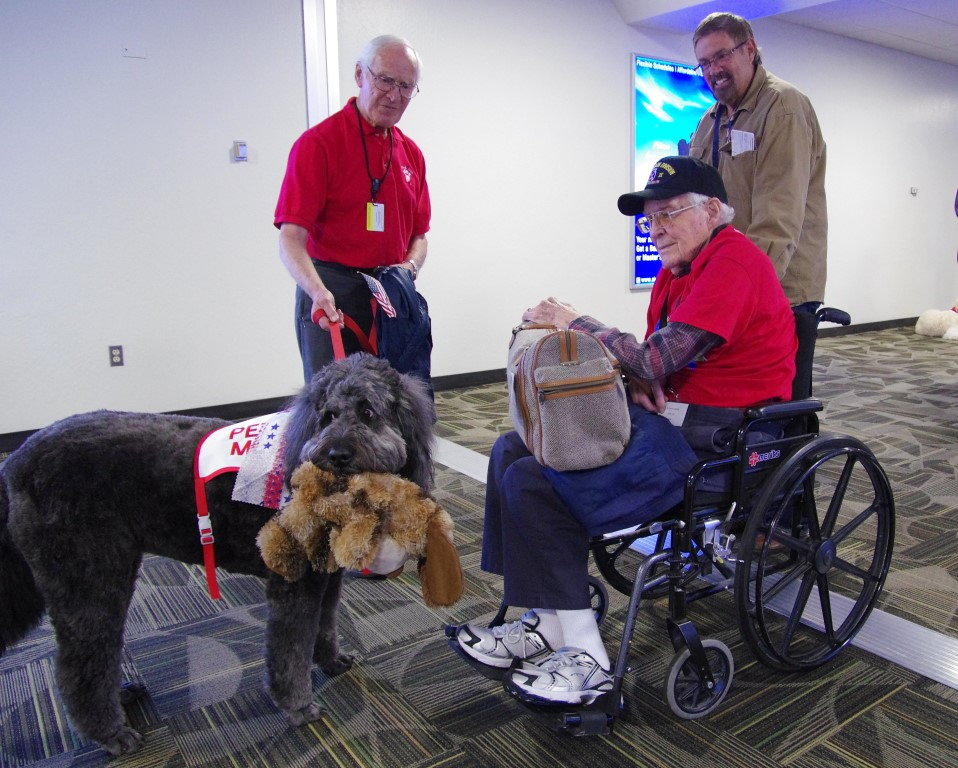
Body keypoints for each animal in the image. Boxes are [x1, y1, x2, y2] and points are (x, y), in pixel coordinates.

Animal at [0, 354, 436, 756]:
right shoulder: (293, 587)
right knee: (80, 666)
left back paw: (120, 695)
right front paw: (298, 706)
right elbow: (289, 654)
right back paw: (110, 732)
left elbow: (324, 627)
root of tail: (16, 462)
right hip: (91, 580)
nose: (335, 454)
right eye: (327, 415)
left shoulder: (324, 580)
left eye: (368, 412)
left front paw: (330, 660)